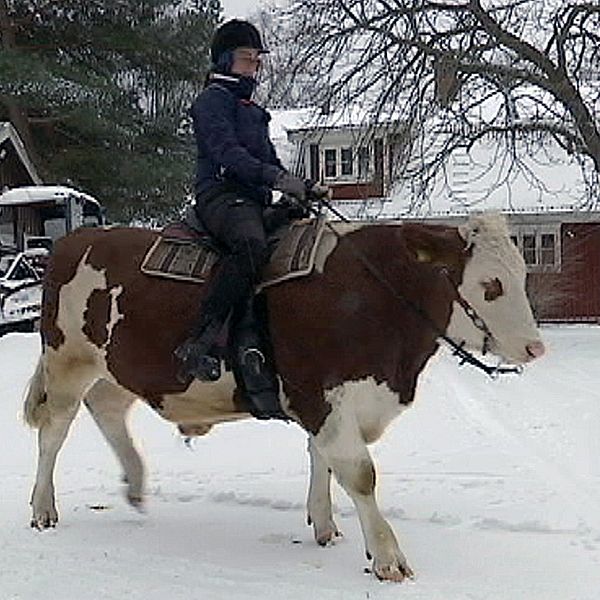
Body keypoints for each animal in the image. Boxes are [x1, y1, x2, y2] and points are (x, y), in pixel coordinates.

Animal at [23, 212, 544, 580]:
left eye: (522, 273)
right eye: (490, 285)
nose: (535, 347)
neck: (374, 296)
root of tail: (75, 240)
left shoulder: (330, 403)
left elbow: (322, 459)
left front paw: (326, 526)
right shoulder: (321, 396)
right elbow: (360, 474)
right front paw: (388, 558)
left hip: (116, 368)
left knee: (106, 408)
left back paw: (133, 482)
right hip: (67, 363)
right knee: (53, 432)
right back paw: (43, 509)